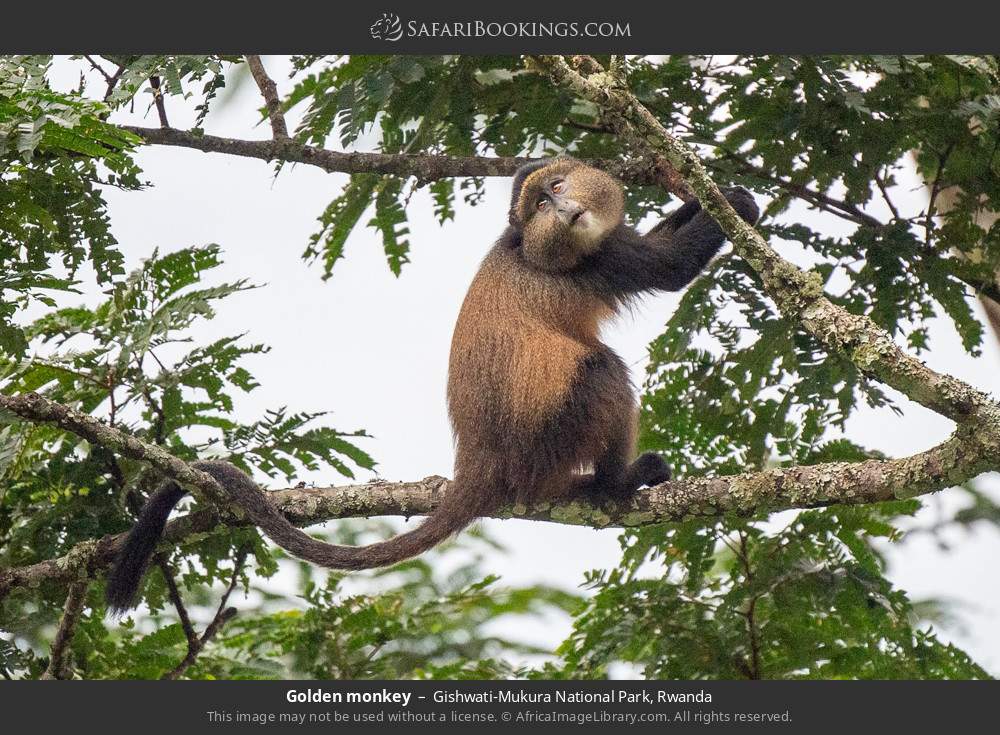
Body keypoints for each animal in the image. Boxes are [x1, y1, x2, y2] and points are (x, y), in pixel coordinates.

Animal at [104, 157, 759, 614]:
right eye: (540, 202)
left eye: (553, 186)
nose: (557, 208)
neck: (527, 244)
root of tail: (479, 463)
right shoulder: (600, 260)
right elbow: (668, 267)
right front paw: (739, 203)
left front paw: (710, 190)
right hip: (549, 436)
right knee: (602, 372)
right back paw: (613, 483)